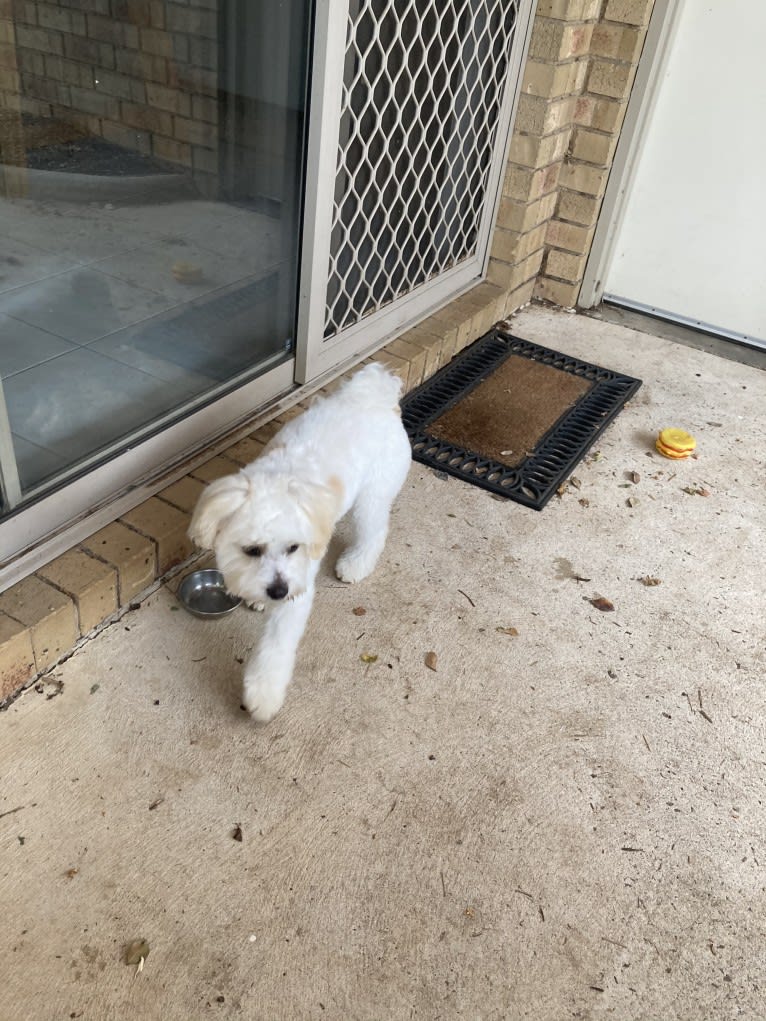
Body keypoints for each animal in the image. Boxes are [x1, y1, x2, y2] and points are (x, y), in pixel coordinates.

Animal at [187, 363, 410, 722]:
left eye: (294, 547)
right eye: (252, 550)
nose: (279, 591)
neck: (277, 479)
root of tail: (375, 396)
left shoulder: (297, 591)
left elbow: (276, 647)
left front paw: (263, 695)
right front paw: (258, 599)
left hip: (372, 497)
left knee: (374, 531)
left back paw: (356, 564)